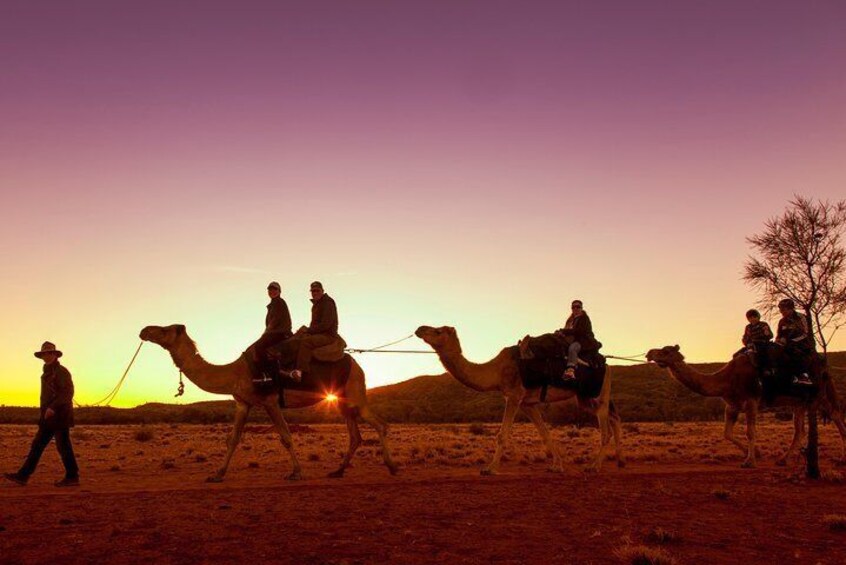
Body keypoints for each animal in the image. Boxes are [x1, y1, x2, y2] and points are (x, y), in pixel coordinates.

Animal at [141, 324, 400, 478]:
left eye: (165, 329)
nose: (144, 330)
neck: (235, 372)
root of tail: (357, 365)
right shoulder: (243, 403)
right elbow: (232, 439)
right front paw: (218, 474)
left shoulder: (270, 401)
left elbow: (286, 437)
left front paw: (296, 472)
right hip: (342, 400)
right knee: (355, 435)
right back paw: (338, 470)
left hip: (355, 394)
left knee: (380, 424)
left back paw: (392, 466)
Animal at [414, 324, 628, 474]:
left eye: (438, 331)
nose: (419, 329)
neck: (496, 371)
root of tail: (606, 365)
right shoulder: (527, 403)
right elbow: (544, 432)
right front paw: (557, 466)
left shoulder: (514, 396)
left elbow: (502, 435)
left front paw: (490, 469)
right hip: (584, 397)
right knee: (614, 417)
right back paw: (620, 460)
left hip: (597, 393)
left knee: (606, 427)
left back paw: (594, 466)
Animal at [644, 344, 844, 468]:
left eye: (665, 351)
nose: (649, 353)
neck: (726, 380)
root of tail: (824, 365)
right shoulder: (732, 406)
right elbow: (727, 433)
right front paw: (757, 453)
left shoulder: (751, 401)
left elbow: (750, 432)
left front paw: (749, 461)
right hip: (798, 402)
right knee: (800, 430)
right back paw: (782, 460)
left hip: (819, 394)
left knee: (836, 415)